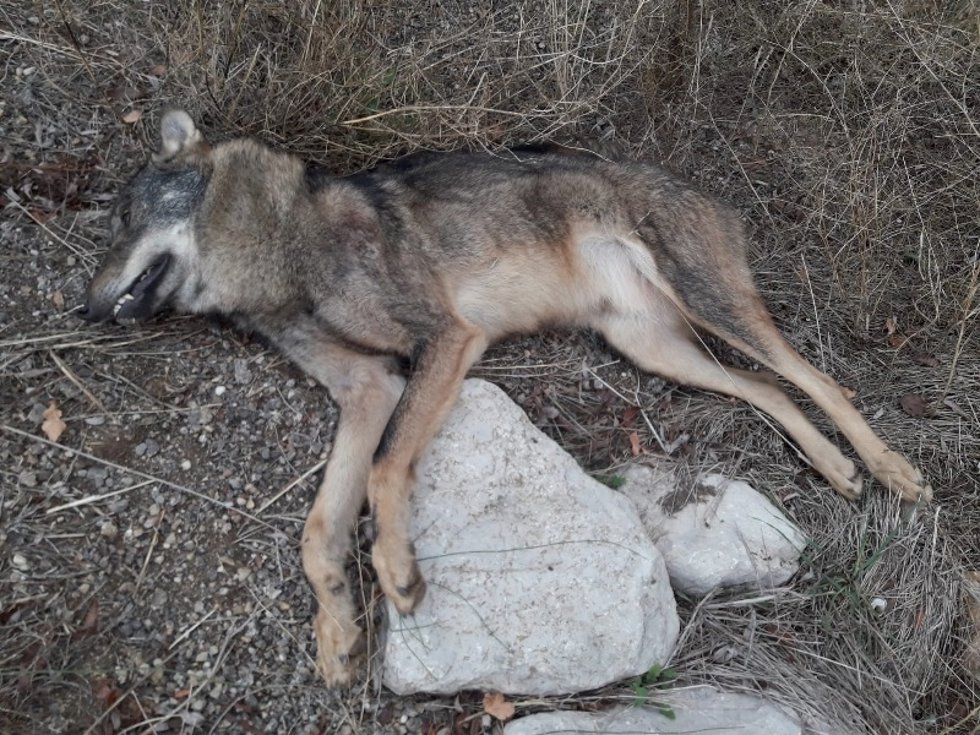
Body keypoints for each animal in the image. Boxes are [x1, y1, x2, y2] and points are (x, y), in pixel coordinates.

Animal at [78, 110, 931, 685]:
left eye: (123, 218)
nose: (83, 310)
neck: (286, 249)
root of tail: (700, 187)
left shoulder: (446, 342)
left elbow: (385, 471)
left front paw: (397, 570)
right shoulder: (367, 389)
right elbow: (318, 531)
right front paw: (337, 631)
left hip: (713, 309)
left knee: (818, 378)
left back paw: (891, 470)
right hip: (656, 348)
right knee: (766, 387)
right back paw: (836, 469)